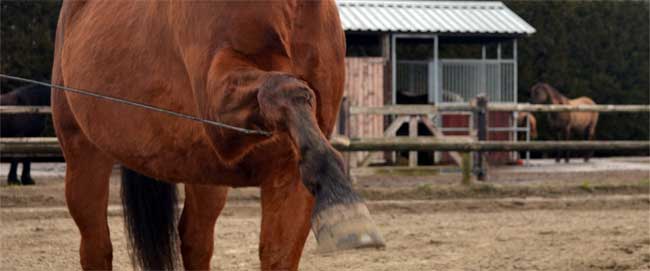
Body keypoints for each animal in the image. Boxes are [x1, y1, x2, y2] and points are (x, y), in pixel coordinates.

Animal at [53, 1, 382, 270]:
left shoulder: (288, 176)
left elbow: (278, 255)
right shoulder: (218, 110)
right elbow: (282, 88)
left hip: (205, 177)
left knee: (195, 240)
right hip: (84, 158)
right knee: (96, 247)